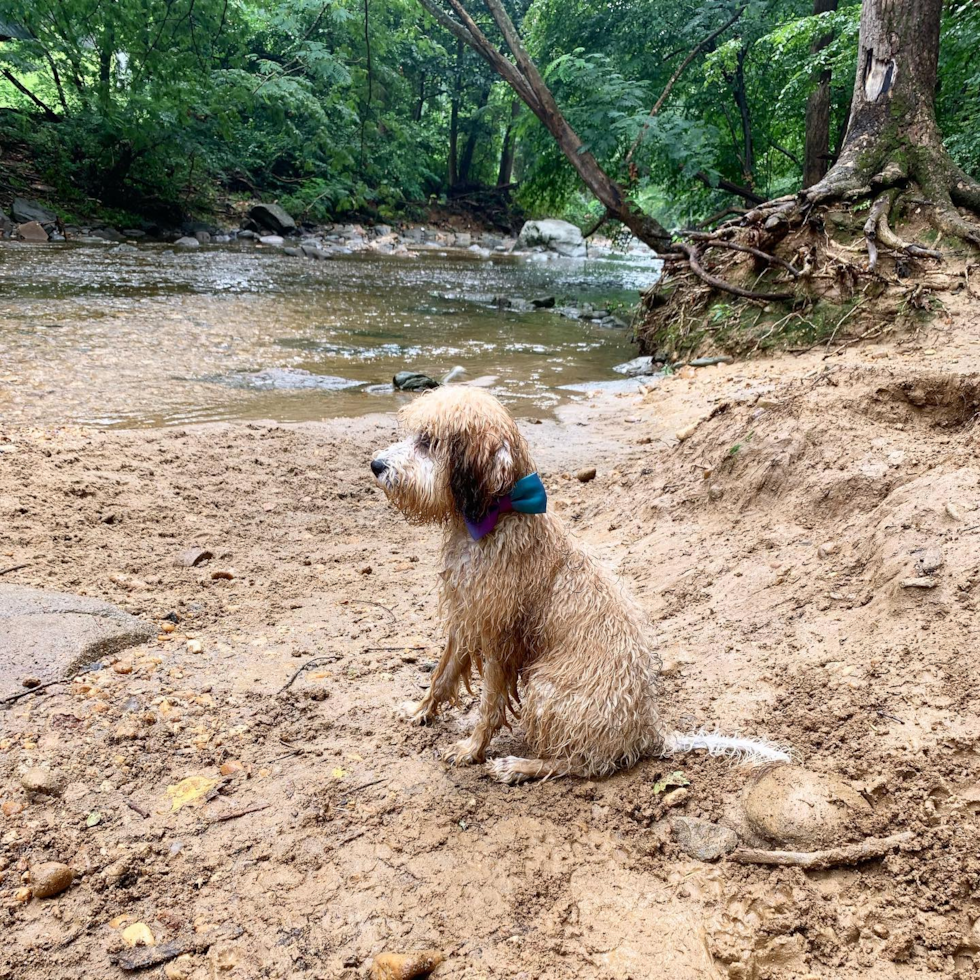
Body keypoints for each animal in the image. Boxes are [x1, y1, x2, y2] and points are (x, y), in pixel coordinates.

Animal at [370, 382, 788, 780]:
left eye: (428, 442)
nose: (376, 465)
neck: (496, 518)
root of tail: (647, 732)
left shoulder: (499, 640)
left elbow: (489, 705)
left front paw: (472, 749)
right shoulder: (466, 616)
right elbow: (442, 675)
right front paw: (420, 710)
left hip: (545, 686)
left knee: (580, 764)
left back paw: (520, 767)